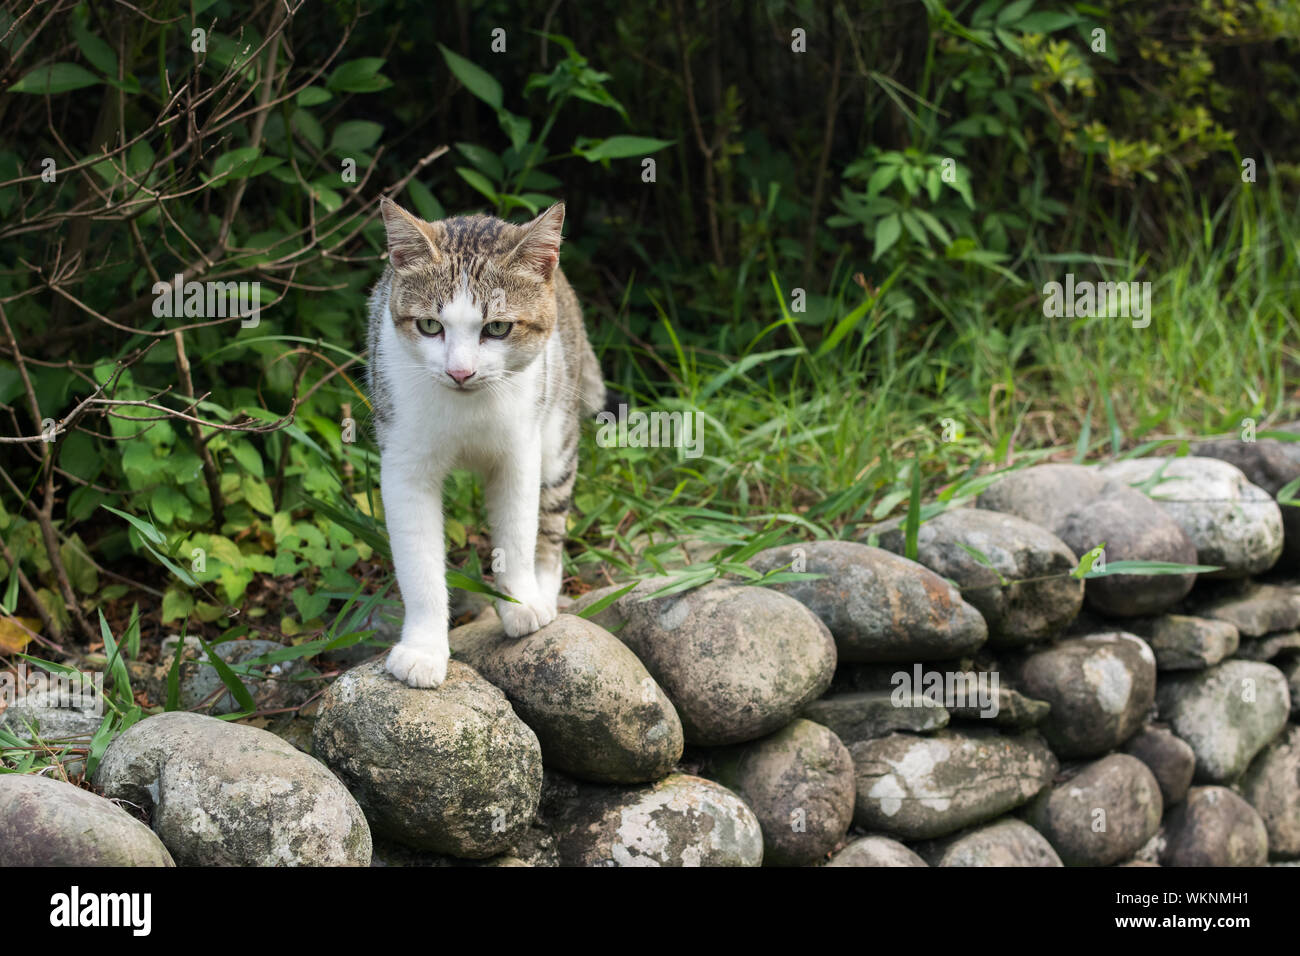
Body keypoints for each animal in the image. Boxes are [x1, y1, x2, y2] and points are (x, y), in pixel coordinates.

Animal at [369, 196, 605, 686]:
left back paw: (545, 589)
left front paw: (521, 603)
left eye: (497, 329)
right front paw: (424, 648)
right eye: (429, 325)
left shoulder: (520, 451)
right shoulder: (403, 460)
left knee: (551, 520)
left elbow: (517, 533)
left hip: (557, 426)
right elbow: (418, 561)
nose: (460, 372)